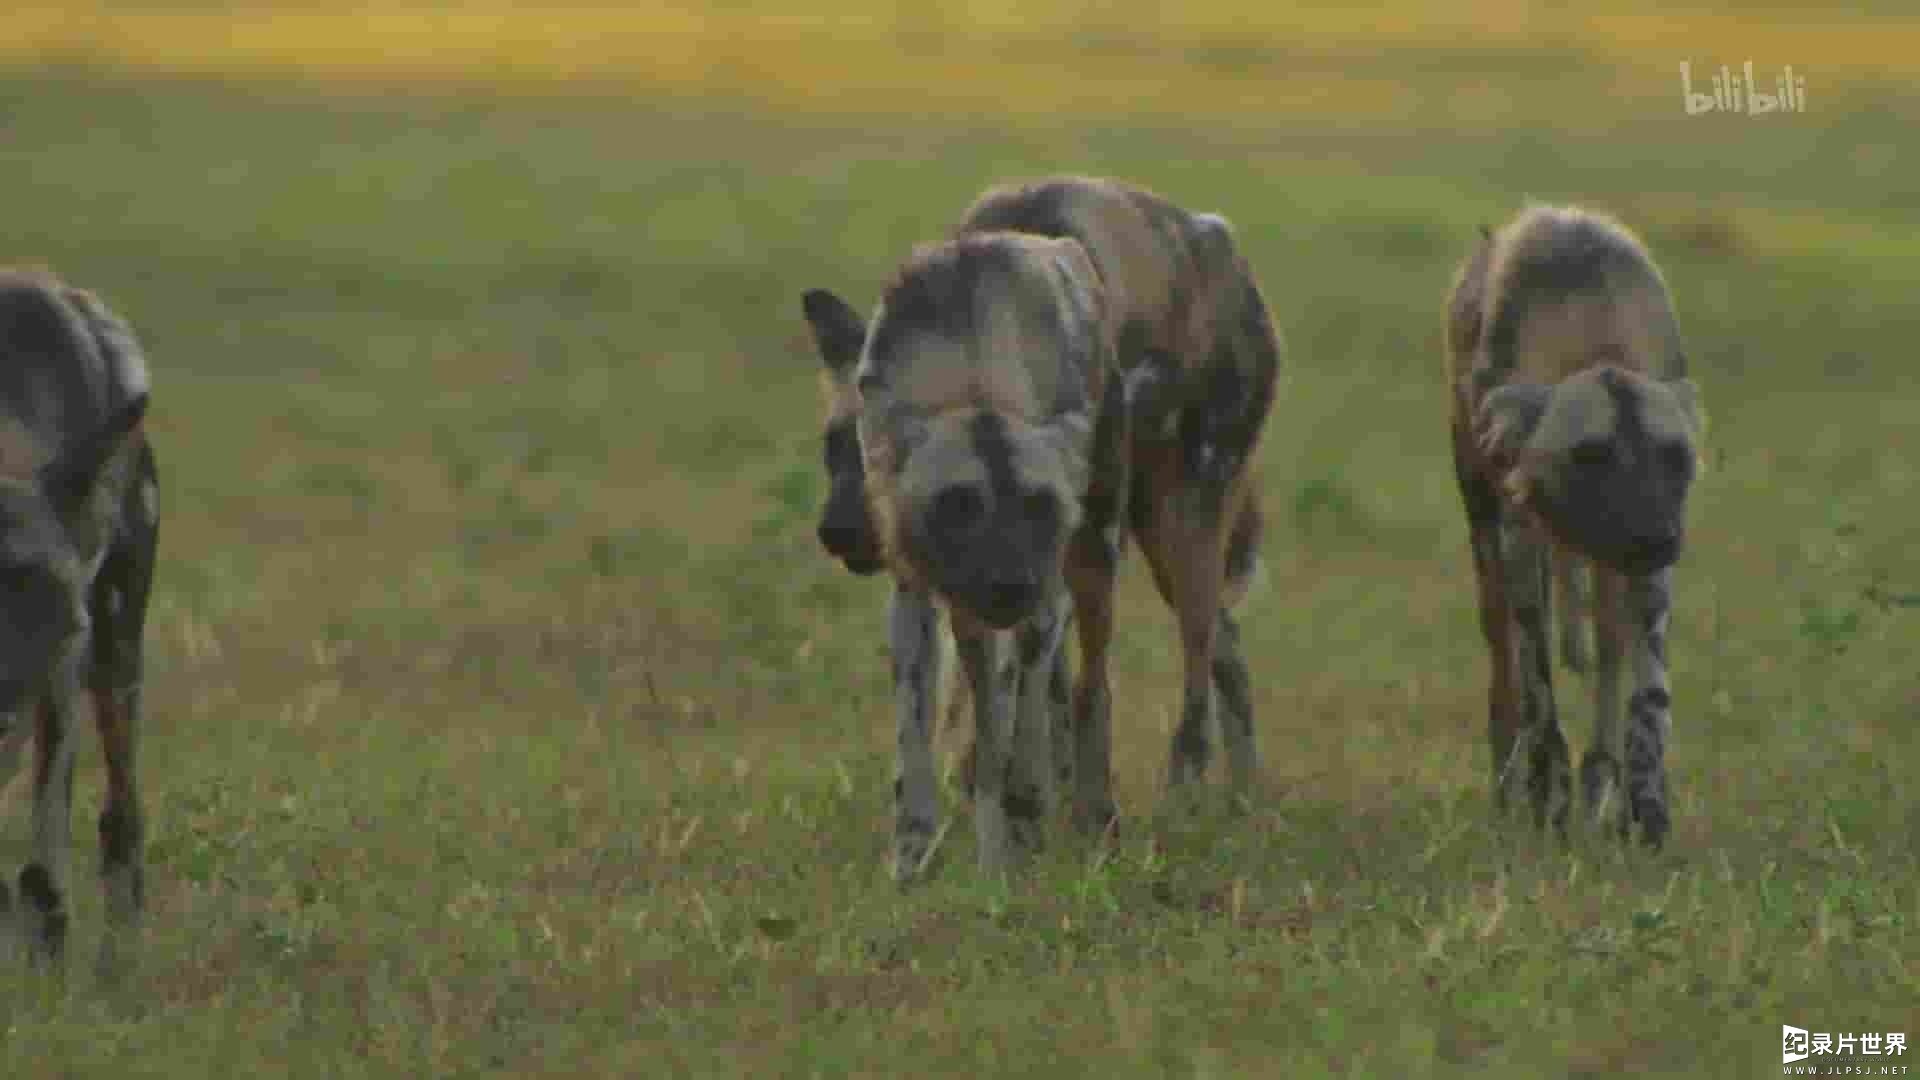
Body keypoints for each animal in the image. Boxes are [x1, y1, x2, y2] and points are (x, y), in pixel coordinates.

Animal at [802, 176, 1282, 880]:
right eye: (838, 445)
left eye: (1036, 504)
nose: (841, 535)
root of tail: (1222, 243)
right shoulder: (919, 589)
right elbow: (920, 737)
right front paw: (916, 859)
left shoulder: (1041, 591)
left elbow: (1012, 722)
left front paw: (1018, 828)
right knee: (1227, 650)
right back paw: (1241, 802)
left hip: (1168, 536)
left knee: (1164, 679)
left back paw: (1164, 801)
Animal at [1443, 199, 1704, 841]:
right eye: (1588, 455)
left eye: (1675, 456)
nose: (1656, 538)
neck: (1593, 333)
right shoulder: (1518, 538)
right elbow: (1538, 691)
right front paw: (1548, 797)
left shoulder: (1651, 574)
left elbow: (1649, 699)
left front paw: (1648, 807)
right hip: (1492, 545)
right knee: (1505, 672)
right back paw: (1514, 789)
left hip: (1609, 571)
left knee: (1610, 652)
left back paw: (1600, 783)